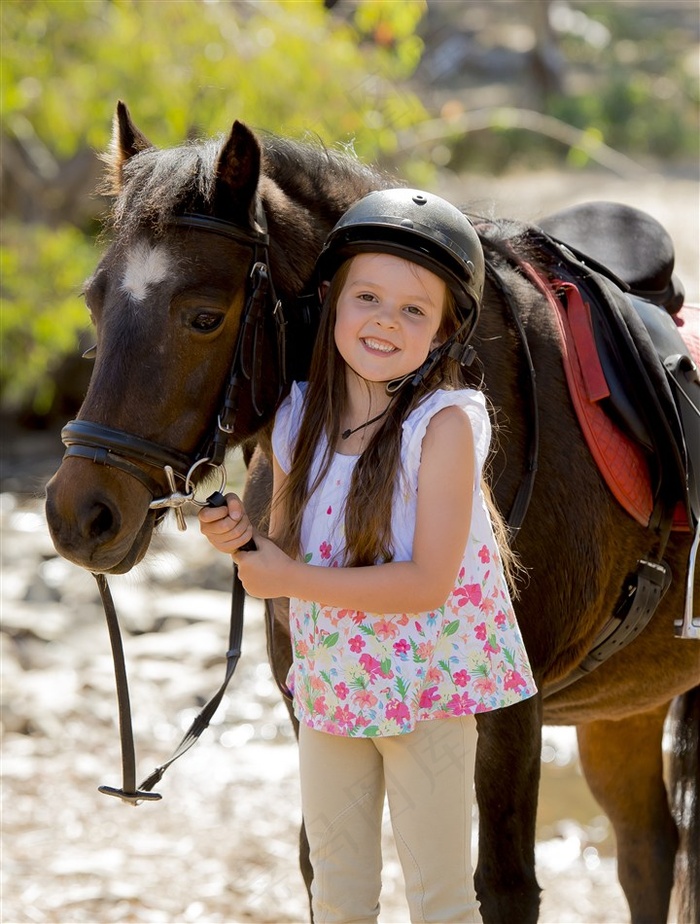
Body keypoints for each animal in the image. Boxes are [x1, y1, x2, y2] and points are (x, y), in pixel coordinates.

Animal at [46, 104, 696, 920]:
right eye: (95, 300)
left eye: (204, 316)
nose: (80, 515)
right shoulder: (304, 699)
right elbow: (325, 865)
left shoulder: (513, 710)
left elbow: (503, 885)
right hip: (625, 712)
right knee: (647, 850)